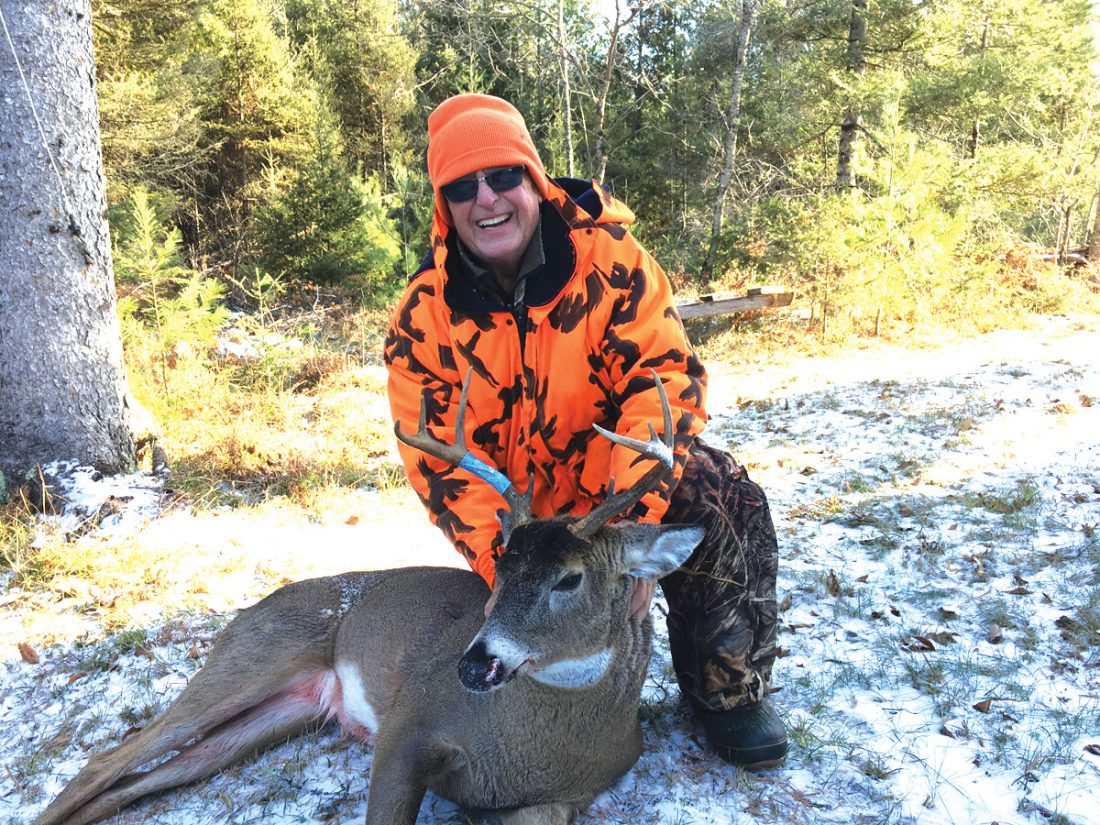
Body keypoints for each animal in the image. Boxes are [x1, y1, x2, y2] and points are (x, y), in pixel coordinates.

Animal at [32, 371, 704, 825]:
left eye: (569, 578)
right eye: (502, 565)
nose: (472, 664)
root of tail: (251, 608)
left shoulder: (565, 797)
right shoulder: (409, 723)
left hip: (285, 710)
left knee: (142, 779)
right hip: (251, 658)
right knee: (105, 762)